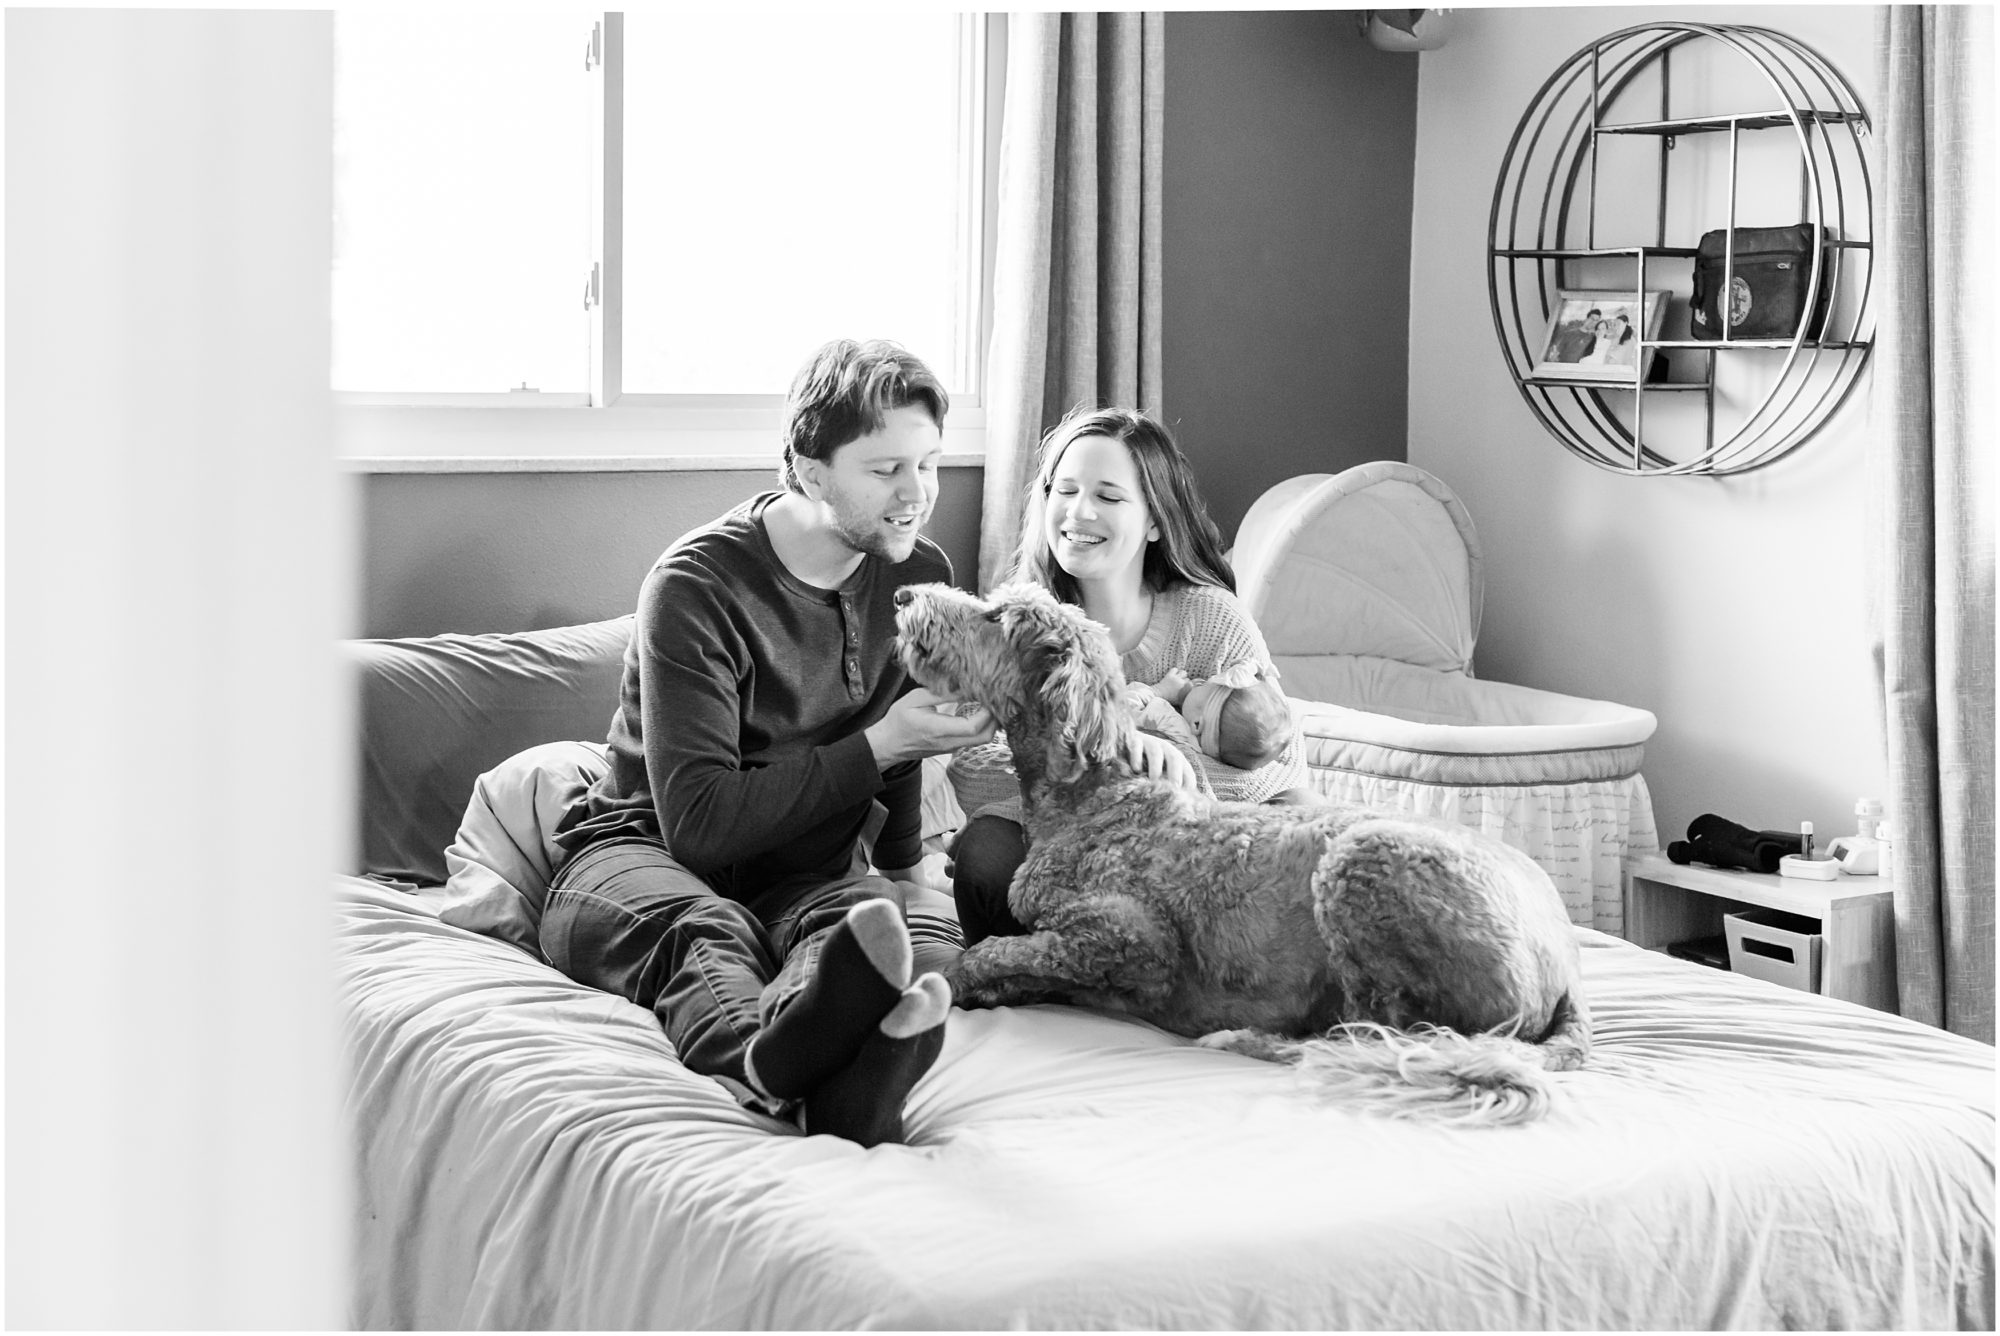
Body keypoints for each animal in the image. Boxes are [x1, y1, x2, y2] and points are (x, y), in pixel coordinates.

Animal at [896, 580, 1592, 1120]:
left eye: (997, 617)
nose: (904, 596)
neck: (1094, 792)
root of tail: (1567, 966)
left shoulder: (1130, 939)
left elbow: (990, 950)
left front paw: (952, 981)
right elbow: (1014, 956)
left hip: (1359, 863)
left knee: (1373, 1038)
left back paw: (1252, 1039)